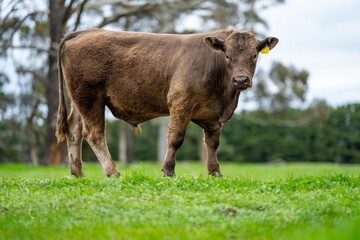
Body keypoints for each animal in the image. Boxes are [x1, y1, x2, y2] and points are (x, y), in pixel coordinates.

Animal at [55, 29, 278, 177]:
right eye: (227, 55)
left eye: (254, 55)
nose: (240, 79)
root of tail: (82, 32)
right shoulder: (181, 104)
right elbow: (175, 139)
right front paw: (168, 171)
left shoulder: (212, 117)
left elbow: (212, 144)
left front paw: (215, 173)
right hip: (90, 98)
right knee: (94, 134)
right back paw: (113, 172)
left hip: (78, 101)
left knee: (74, 130)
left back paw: (77, 173)